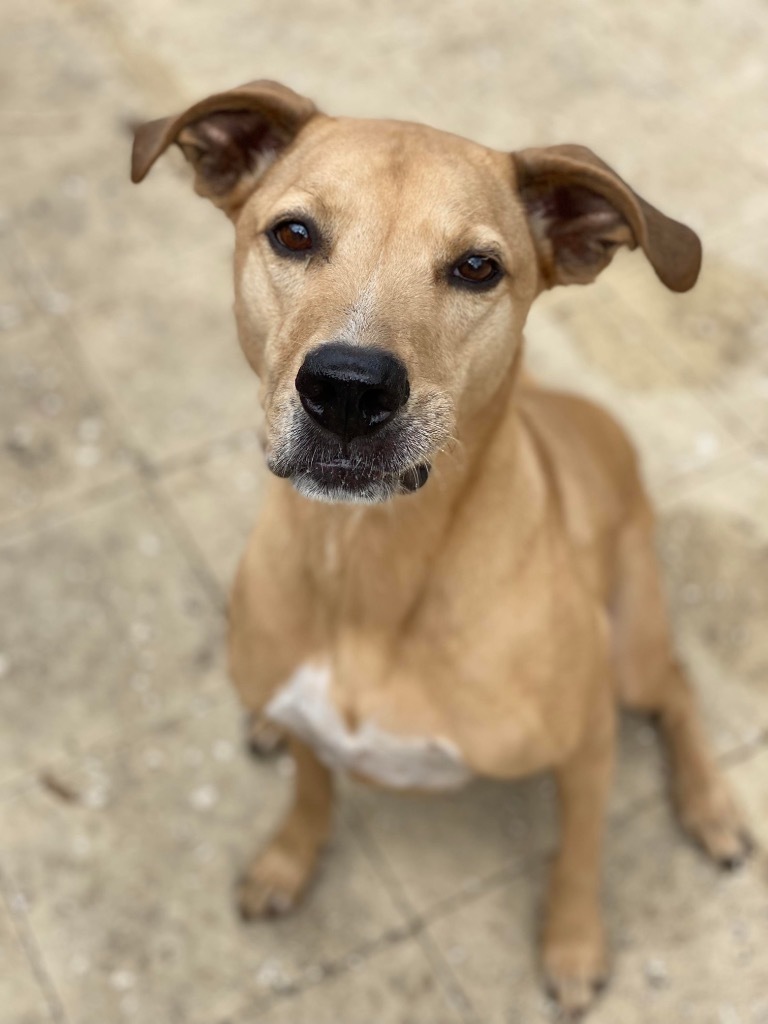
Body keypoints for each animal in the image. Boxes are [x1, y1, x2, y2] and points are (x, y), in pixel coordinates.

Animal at [132, 79, 753, 1015]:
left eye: (476, 268)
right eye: (293, 234)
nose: (349, 389)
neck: (370, 568)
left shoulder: (587, 745)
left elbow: (580, 854)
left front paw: (573, 945)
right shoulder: (312, 720)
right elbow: (311, 787)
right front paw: (286, 860)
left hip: (634, 644)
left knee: (675, 685)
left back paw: (712, 808)